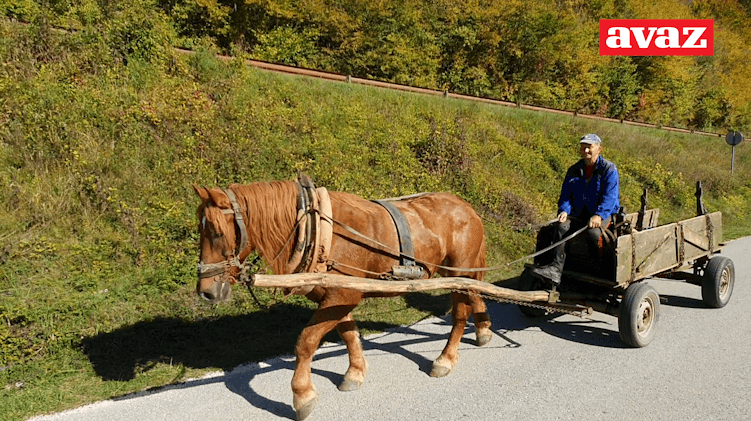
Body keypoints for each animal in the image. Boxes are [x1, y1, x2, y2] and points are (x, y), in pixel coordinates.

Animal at [192, 178, 494, 420]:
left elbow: (306, 342)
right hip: (456, 272)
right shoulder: (336, 294)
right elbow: (348, 334)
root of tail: (467, 207)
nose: (206, 291)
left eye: (216, 232)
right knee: (476, 294)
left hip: (460, 270)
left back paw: (445, 359)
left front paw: (302, 395)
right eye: (200, 229)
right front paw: (355, 373)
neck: (316, 229)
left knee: (460, 313)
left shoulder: (343, 294)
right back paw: (483, 330)